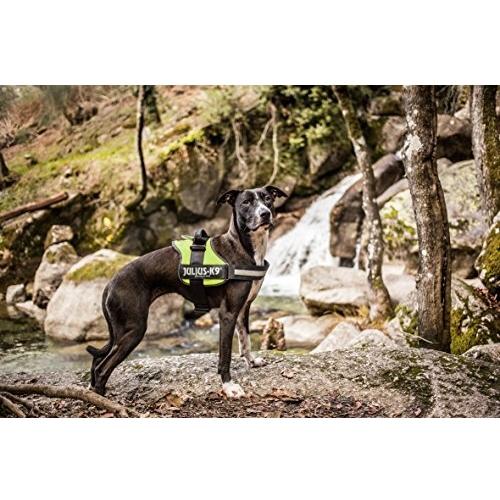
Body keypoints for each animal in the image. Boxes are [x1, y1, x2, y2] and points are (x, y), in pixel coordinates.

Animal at [87, 185, 287, 398]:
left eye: (267, 199)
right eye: (246, 203)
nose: (265, 214)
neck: (241, 247)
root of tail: (111, 283)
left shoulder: (242, 309)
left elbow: (245, 340)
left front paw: (251, 361)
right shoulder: (227, 314)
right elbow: (225, 356)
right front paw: (229, 386)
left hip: (120, 331)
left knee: (98, 360)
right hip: (134, 329)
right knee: (103, 367)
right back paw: (100, 396)